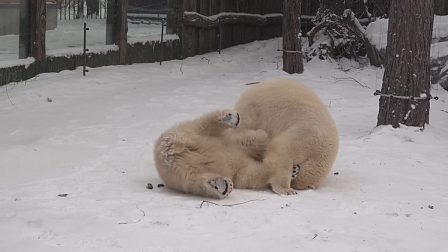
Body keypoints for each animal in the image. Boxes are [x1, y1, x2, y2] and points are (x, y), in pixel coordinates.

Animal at [152, 110, 300, 199]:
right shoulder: (240, 143)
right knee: (204, 125)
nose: (296, 168)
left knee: (196, 181)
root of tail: (171, 151)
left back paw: (221, 185)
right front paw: (288, 187)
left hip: (182, 173)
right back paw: (230, 118)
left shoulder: (240, 166)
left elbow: (251, 174)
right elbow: (262, 138)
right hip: (189, 133)